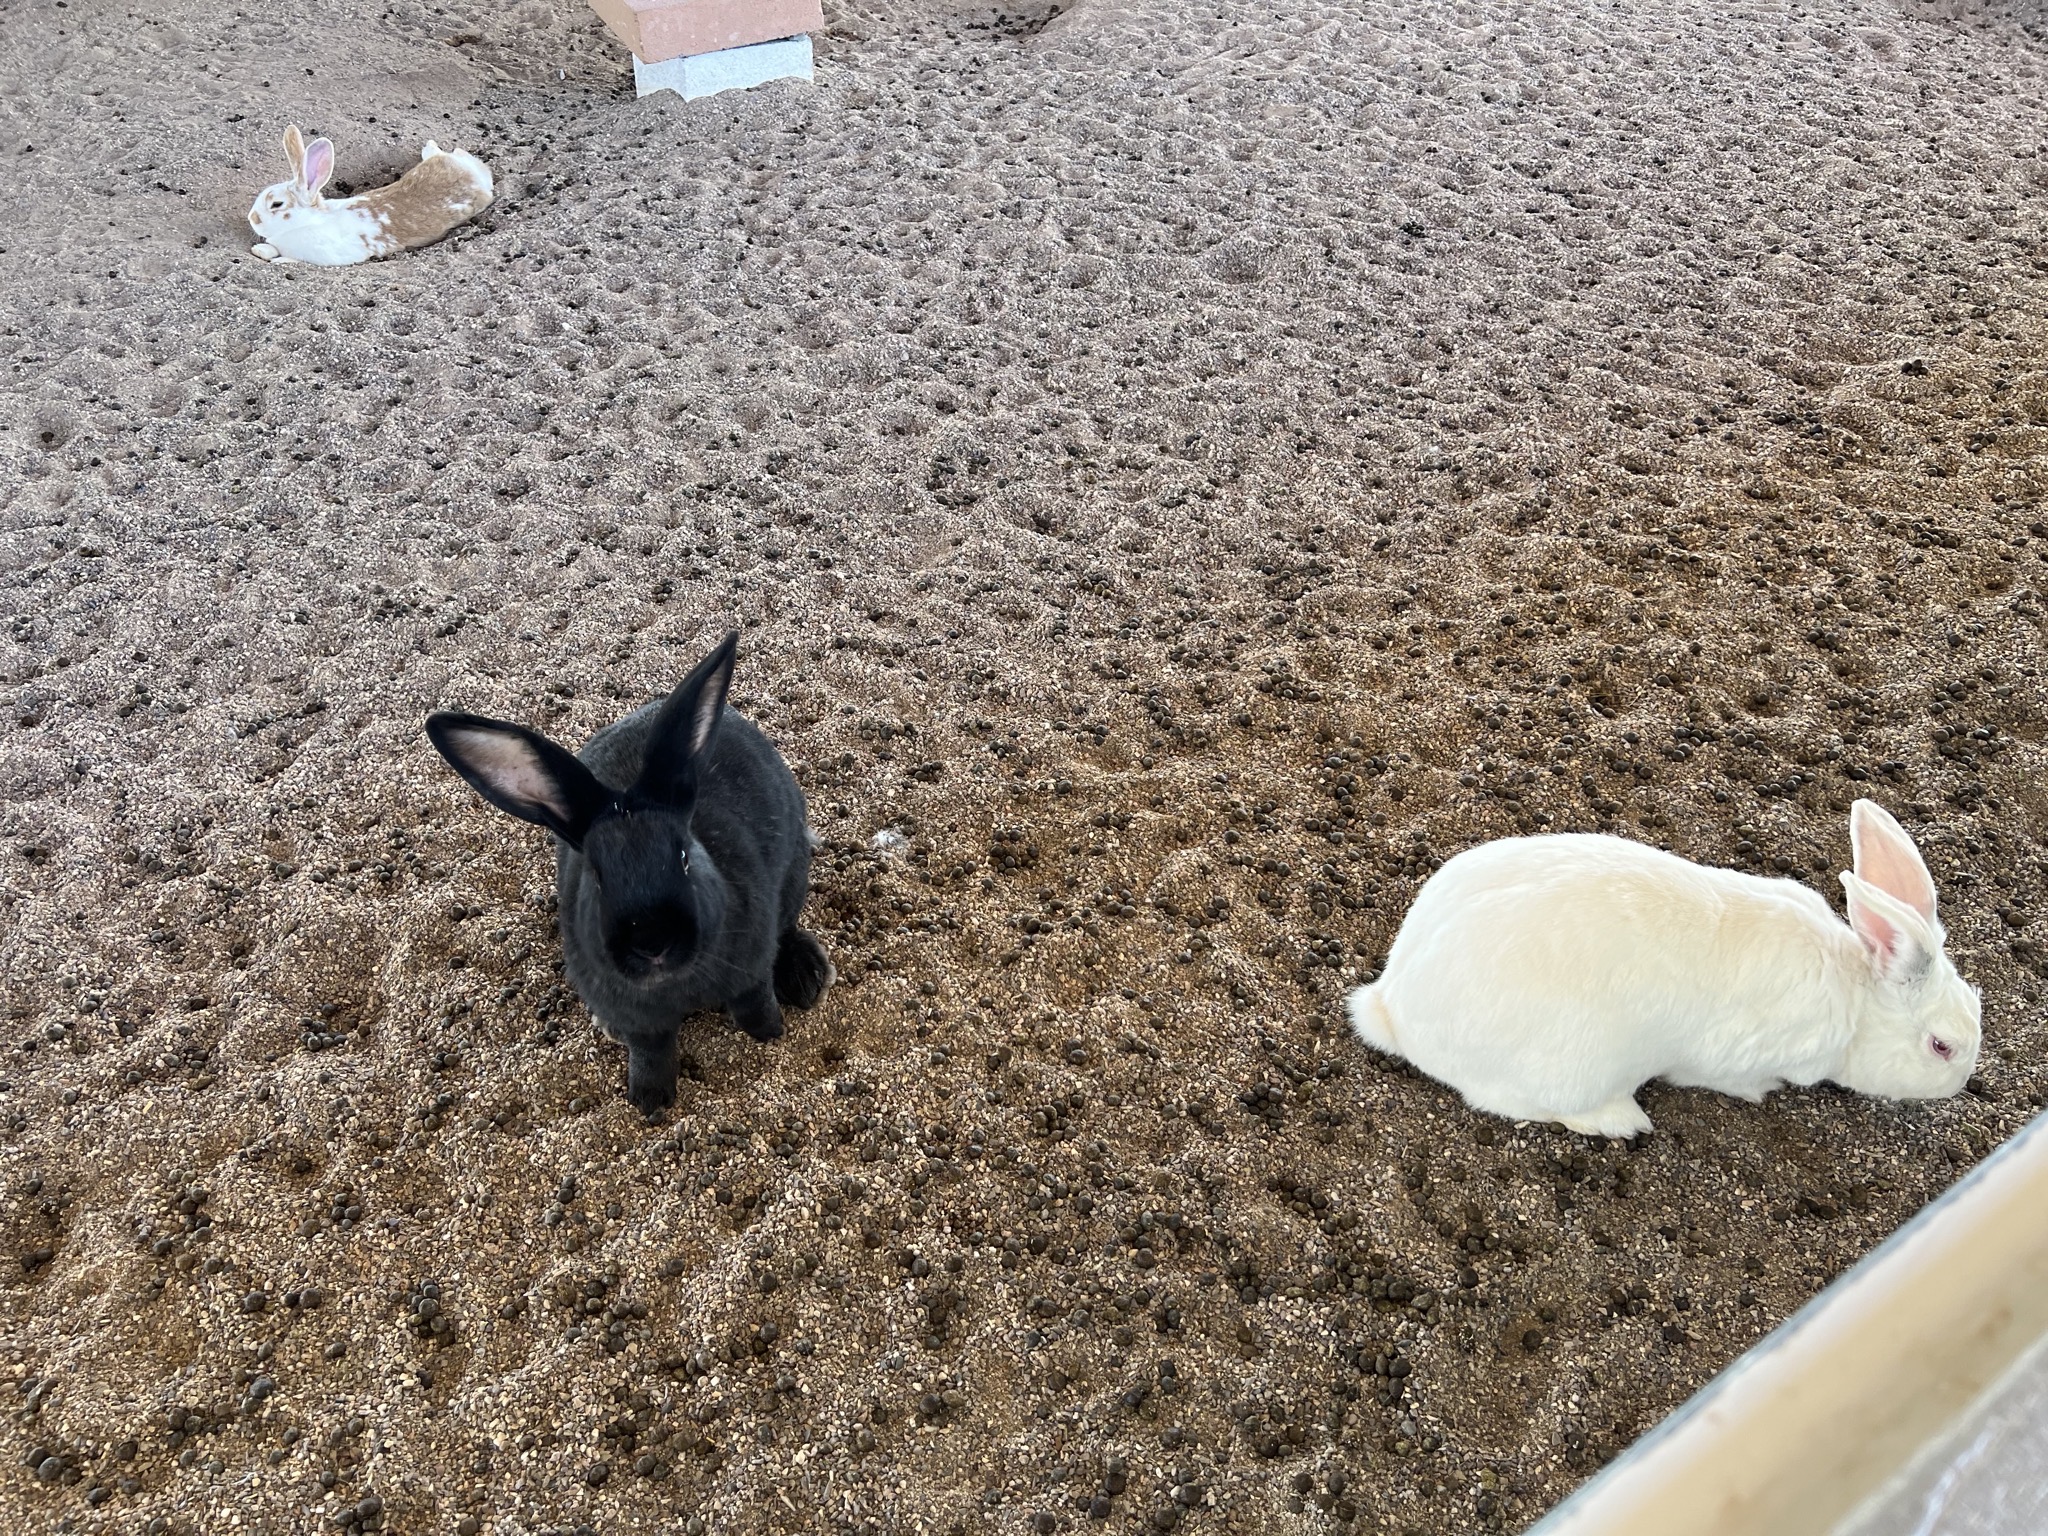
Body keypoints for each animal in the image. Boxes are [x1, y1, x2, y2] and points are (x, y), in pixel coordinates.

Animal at [248, 124, 493, 266]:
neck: (308, 221)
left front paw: (277, 259)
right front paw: (261, 250)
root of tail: (467, 170)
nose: (252, 218)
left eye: (276, 204)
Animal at [425, 632, 834, 1114]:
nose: (652, 943)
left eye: (684, 856)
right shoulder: (639, 1019)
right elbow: (650, 1051)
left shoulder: (750, 972)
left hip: (794, 875)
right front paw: (650, 1101)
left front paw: (770, 1034)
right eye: (597, 876)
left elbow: (754, 1004)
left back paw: (807, 978)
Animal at [1345, 799, 1980, 1137]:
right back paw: (1620, 1120)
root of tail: (1393, 1007)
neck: (1856, 997)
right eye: (1941, 1047)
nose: (1963, 1083)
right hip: (1569, 1069)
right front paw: (1763, 1093)